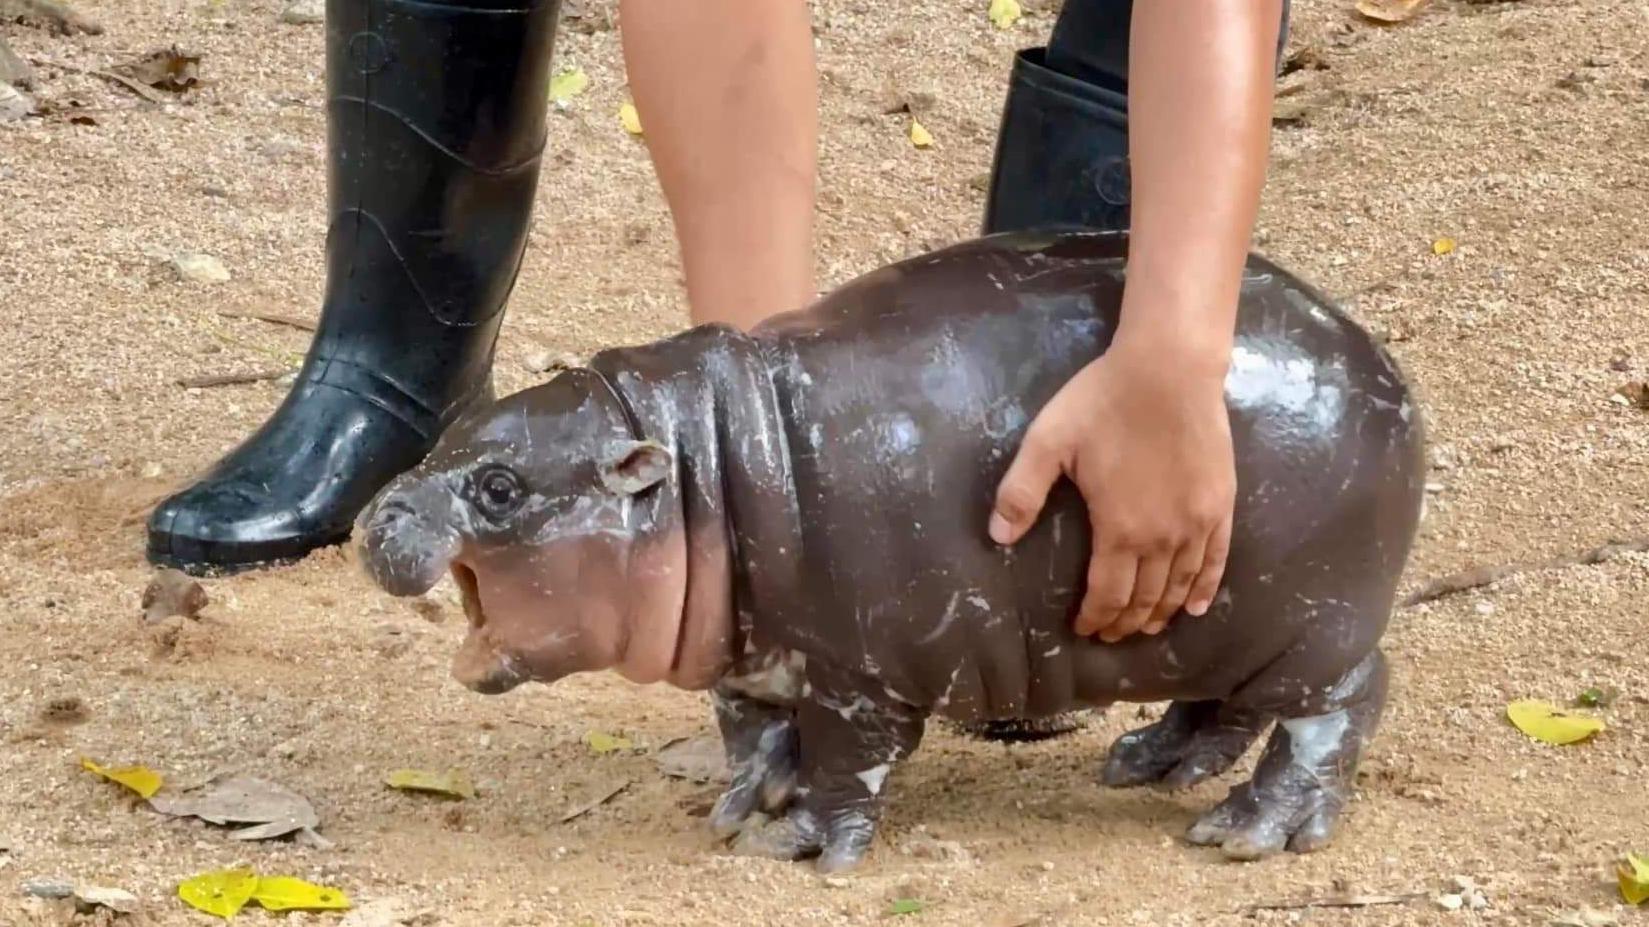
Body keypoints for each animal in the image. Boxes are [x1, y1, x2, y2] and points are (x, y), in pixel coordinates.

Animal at [354, 227, 1424, 870]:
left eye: (500, 487)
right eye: (452, 432)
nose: (375, 515)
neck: (700, 468)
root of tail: (1381, 363)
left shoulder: (860, 675)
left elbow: (845, 761)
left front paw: (797, 844)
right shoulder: (754, 657)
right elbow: (752, 729)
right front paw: (743, 803)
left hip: (1312, 625)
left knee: (1338, 707)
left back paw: (1246, 832)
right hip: (1212, 619)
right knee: (1225, 704)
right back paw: (1147, 763)